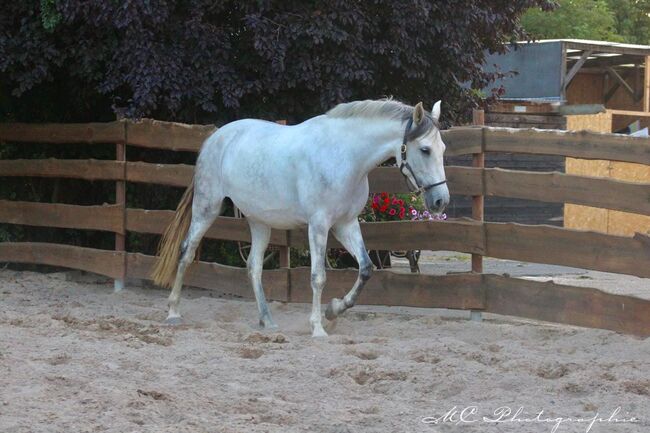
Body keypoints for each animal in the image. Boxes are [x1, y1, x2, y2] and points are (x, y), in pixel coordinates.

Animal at [151, 98, 446, 338]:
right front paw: (318, 328)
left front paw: (333, 311)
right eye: (425, 150)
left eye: (442, 148)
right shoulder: (319, 225)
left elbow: (365, 268)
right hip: (207, 207)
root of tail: (215, 138)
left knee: (254, 266)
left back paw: (267, 321)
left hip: (259, 222)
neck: (344, 156)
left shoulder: (346, 224)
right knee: (186, 252)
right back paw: (173, 313)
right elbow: (318, 276)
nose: (441, 201)